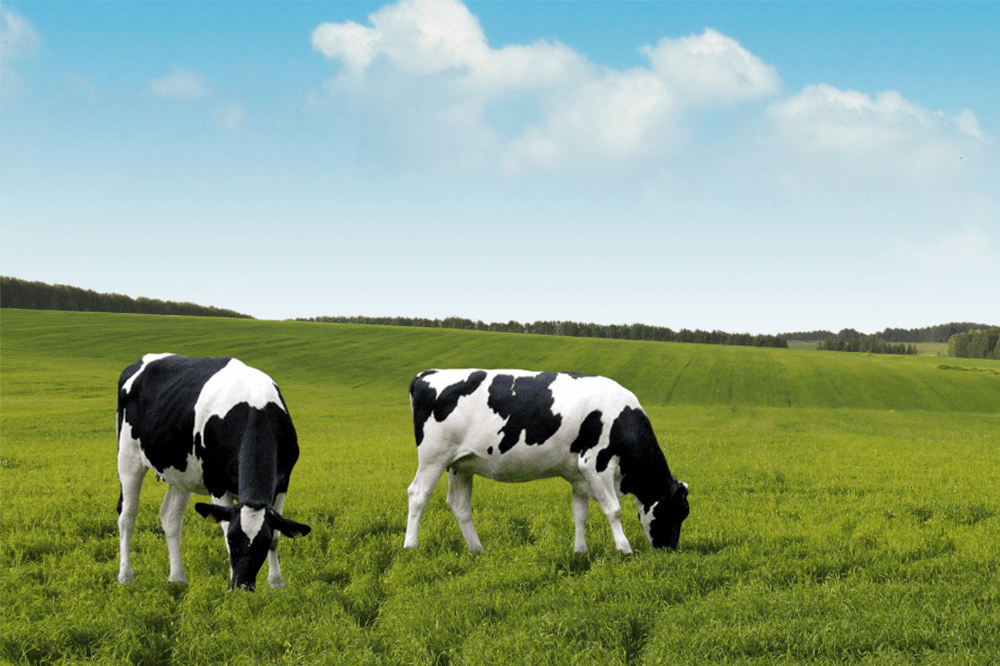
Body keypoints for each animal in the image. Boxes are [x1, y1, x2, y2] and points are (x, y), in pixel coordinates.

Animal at [116, 353, 311, 591]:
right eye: (233, 540)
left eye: (262, 544)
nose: (242, 586)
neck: (255, 406)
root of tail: (144, 359)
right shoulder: (216, 484)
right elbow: (224, 528)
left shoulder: (283, 483)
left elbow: (276, 535)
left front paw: (276, 583)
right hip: (128, 457)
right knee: (127, 515)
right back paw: (125, 576)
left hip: (181, 474)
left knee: (170, 518)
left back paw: (177, 578)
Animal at [404, 368, 689, 554]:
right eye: (676, 512)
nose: (671, 550)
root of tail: (428, 374)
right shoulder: (595, 463)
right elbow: (614, 510)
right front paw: (624, 549)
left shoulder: (578, 474)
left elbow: (580, 513)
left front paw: (580, 551)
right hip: (433, 457)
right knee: (418, 495)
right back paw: (411, 546)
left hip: (460, 464)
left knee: (460, 505)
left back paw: (477, 549)